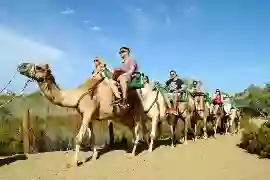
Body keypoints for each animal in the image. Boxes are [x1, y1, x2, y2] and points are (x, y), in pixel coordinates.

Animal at [16, 63, 146, 166]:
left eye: (38, 67)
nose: (21, 66)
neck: (78, 95)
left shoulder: (87, 113)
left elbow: (78, 138)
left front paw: (74, 162)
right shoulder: (90, 117)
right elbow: (92, 138)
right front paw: (93, 157)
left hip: (137, 110)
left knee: (138, 130)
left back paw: (132, 154)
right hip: (124, 116)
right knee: (133, 130)